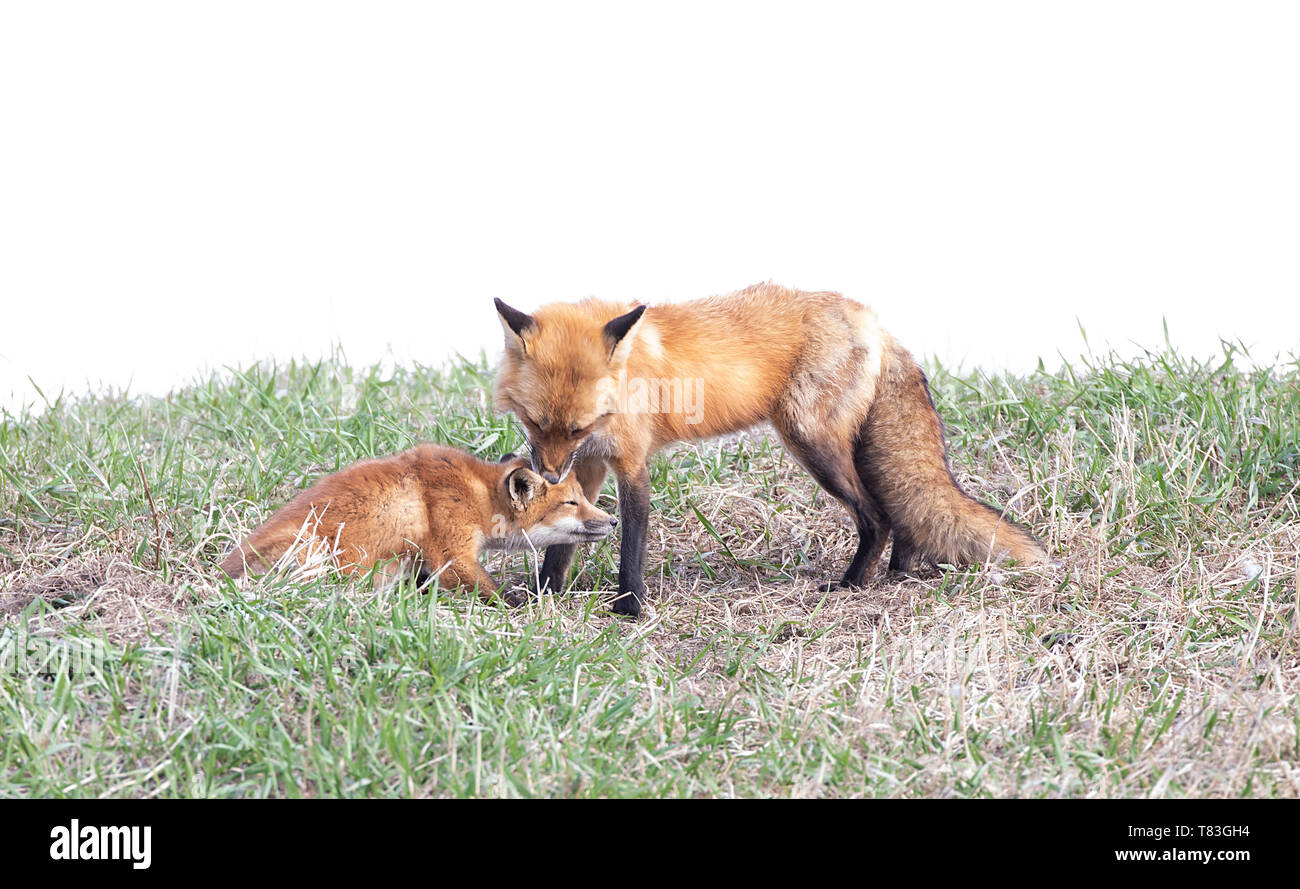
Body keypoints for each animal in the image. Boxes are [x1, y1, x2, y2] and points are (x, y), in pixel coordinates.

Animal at [219, 444, 617, 597]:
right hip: (313, 553)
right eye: (572, 502)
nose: (614, 522)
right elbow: (496, 593)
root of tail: (220, 573)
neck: (478, 495)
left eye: (583, 498)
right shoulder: (452, 556)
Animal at [493, 282, 1051, 617]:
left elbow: (632, 542)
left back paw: (853, 584)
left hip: (811, 442)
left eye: (577, 425)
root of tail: (873, 321)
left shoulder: (631, 463)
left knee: (878, 516)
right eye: (536, 422)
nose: (546, 473)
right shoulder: (587, 464)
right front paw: (543, 595)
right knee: (899, 511)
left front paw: (629, 608)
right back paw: (898, 571)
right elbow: (564, 539)